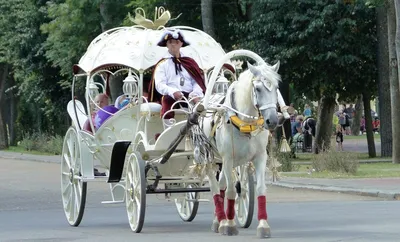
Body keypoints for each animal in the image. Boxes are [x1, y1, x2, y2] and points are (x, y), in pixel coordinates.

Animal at [203, 61, 282, 238]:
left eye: (276, 87)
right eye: (258, 88)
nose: (273, 120)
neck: (244, 123)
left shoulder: (260, 157)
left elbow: (259, 188)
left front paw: (263, 225)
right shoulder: (228, 159)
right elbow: (232, 190)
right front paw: (230, 225)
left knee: (221, 185)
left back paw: (219, 219)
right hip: (210, 158)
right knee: (215, 186)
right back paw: (221, 220)